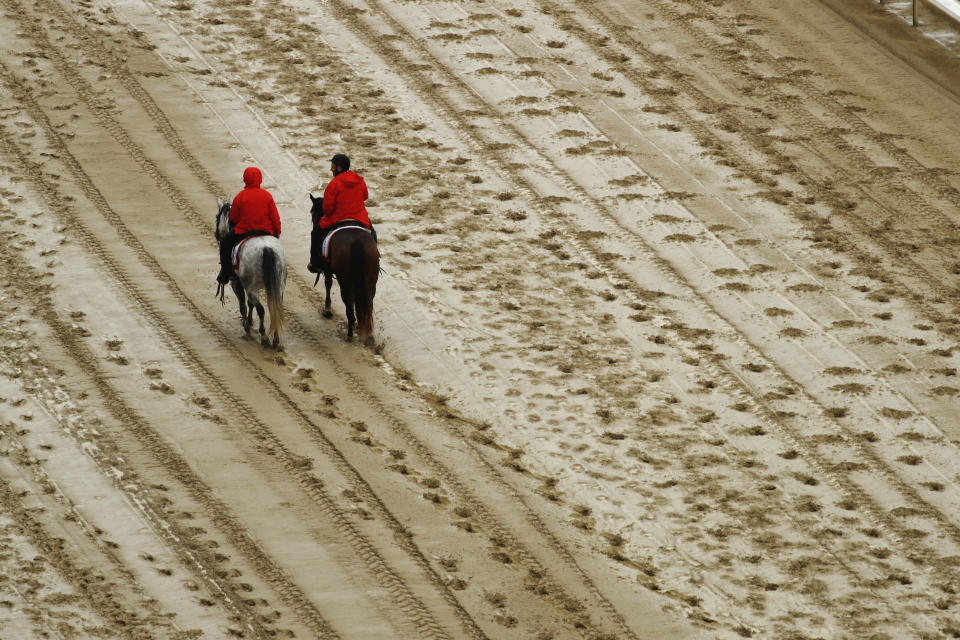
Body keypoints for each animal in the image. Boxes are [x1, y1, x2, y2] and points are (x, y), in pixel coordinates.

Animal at [218, 199, 288, 350]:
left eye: (217, 217)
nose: (217, 234)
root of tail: (266, 249)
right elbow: (250, 304)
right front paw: (249, 321)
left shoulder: (237, 282)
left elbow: (243, 305)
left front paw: (246, 326)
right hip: (278, 285)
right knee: (276, 308)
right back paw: (275, 339)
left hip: (252, 287)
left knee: (261, 309)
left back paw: (264, 337)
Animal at [310, 195, 380, 342]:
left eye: (312, 212)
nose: (314, 222)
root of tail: (356, 242)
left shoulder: (328, 269)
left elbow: (328, 284)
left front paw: (327, 310)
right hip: (371, 281)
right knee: (367, 302)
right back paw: (367, 333)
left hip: (345, 280)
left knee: (348, 303)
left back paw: (350, 333)